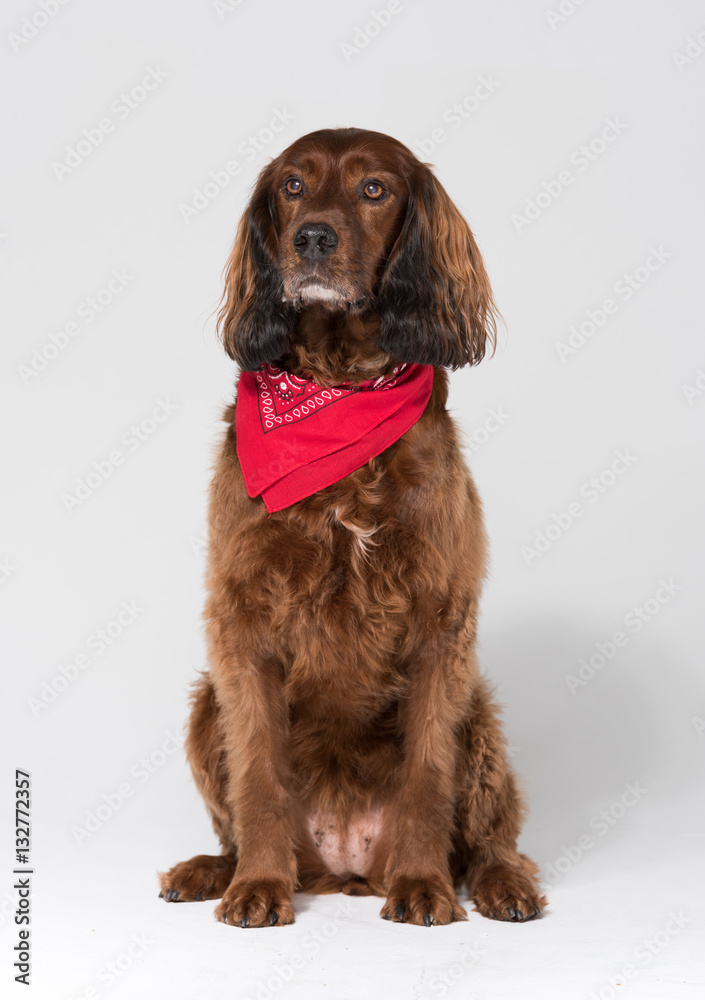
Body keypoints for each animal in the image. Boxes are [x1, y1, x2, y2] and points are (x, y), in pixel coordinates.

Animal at [158, 129, 544, 924]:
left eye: (374, 190)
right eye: (293, 186)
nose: (312, 237)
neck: (336, 388)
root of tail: (342, 865)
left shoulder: (440, 620)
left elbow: (427, 776)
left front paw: (423, 886)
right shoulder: (241, 620)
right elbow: (260, 779)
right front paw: (258, 887)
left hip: (477, 712)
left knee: (491, 839)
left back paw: (497, 883)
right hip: (207, 704)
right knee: (236, 821)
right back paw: (218, 869)